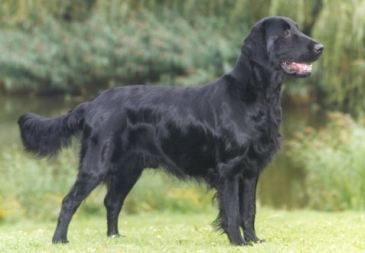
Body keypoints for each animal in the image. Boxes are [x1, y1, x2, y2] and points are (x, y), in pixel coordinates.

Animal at [18, 16, 322, 245]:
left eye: (297, 29)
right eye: (285, 33)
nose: (320, 47)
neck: (255, 97)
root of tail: (92, 102)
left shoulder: (251, 170)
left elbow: (249, 210)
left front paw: (254, 241)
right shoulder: (229, 168)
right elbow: (233, 212)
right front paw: (238, 243)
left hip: (129, 169)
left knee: (112, 202)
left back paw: (114, 238)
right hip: (96, 165)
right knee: (69, 201)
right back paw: (60, 240)